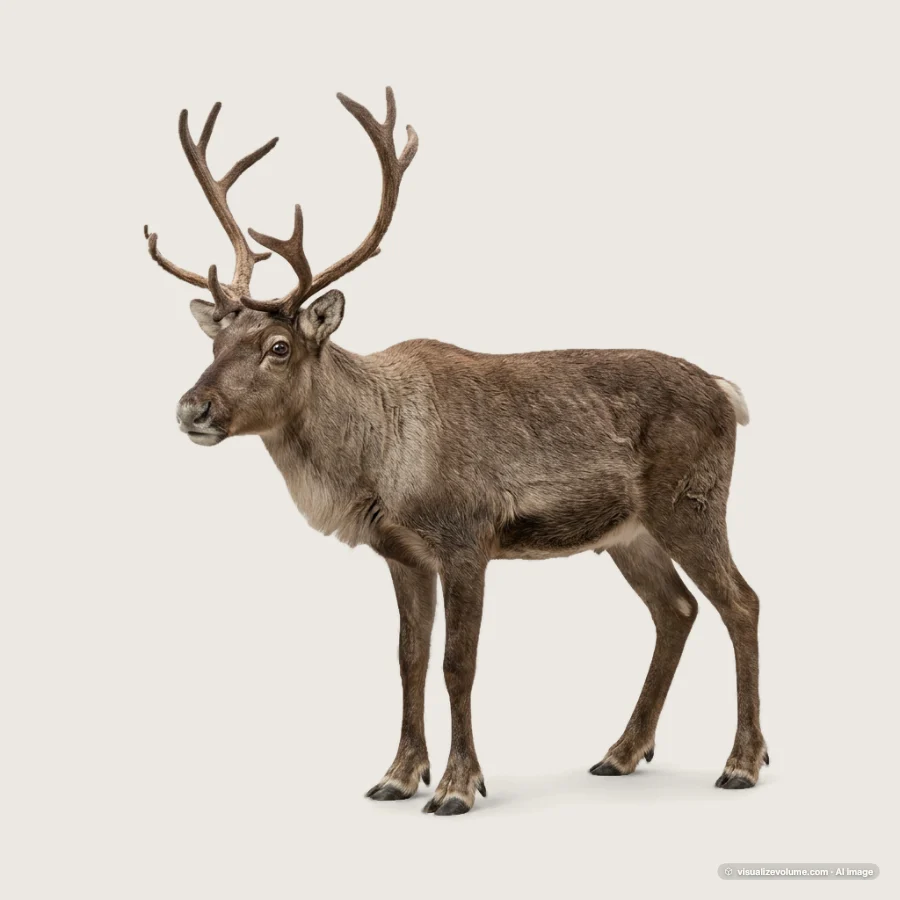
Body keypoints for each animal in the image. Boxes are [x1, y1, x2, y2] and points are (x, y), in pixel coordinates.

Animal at [145, 88, 767, 816]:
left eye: (278, 347)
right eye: (215, 343)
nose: (193, 408)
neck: (376, 460)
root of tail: (728, 392)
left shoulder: (468, 537)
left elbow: (456, 664)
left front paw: (456, 785)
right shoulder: (402, 554)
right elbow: (408, 659)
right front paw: (397, 774)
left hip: (691, 504)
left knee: (741, 602)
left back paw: (742, 762)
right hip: (628, 533)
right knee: (676, 609)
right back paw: (620, 752)